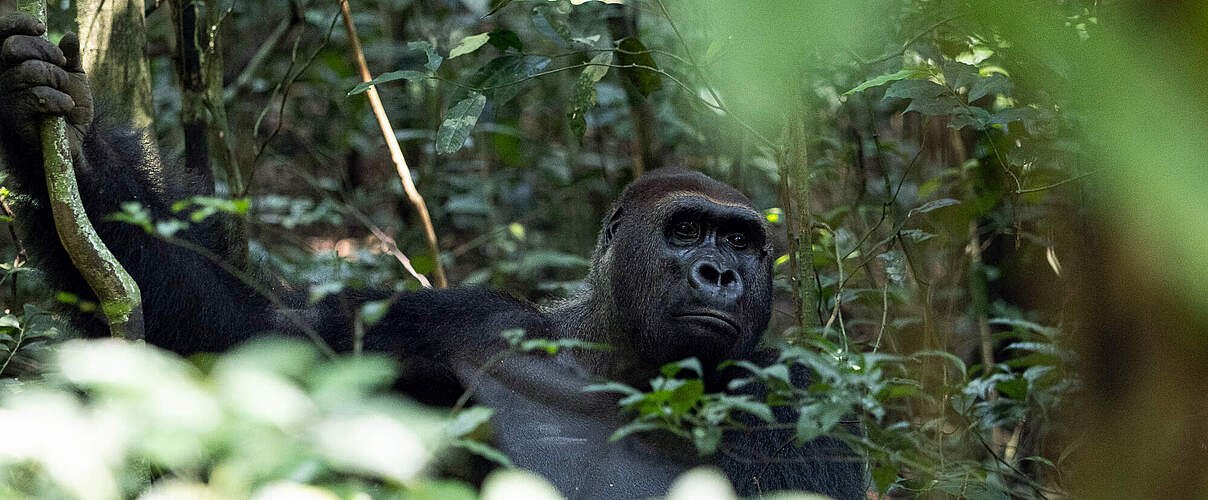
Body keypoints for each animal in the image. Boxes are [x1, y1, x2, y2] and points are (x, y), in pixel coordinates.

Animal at [0, 13, 869, 497]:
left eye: (742, 241)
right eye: (686, 231)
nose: (719, 272)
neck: (615, 359)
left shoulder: (801, 398)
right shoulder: (452, 322)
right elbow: (258, 341)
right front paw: (62, 127)